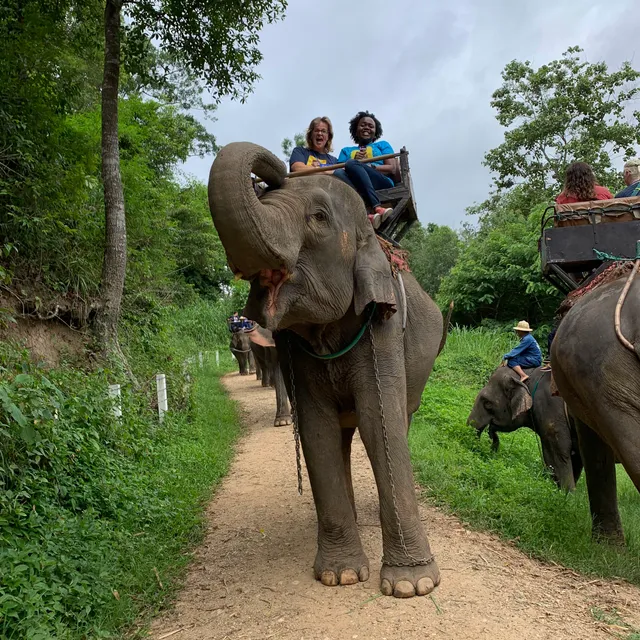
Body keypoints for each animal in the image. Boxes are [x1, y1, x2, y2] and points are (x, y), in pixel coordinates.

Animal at [208, 142, 449, 599]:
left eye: (318, 218)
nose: (268, 174)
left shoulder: (383, 326)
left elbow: (380, 421)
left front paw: (413, 586)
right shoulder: (295, 350)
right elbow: (316, 428)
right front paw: (341, 576)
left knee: (399, 419)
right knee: (341, 436)